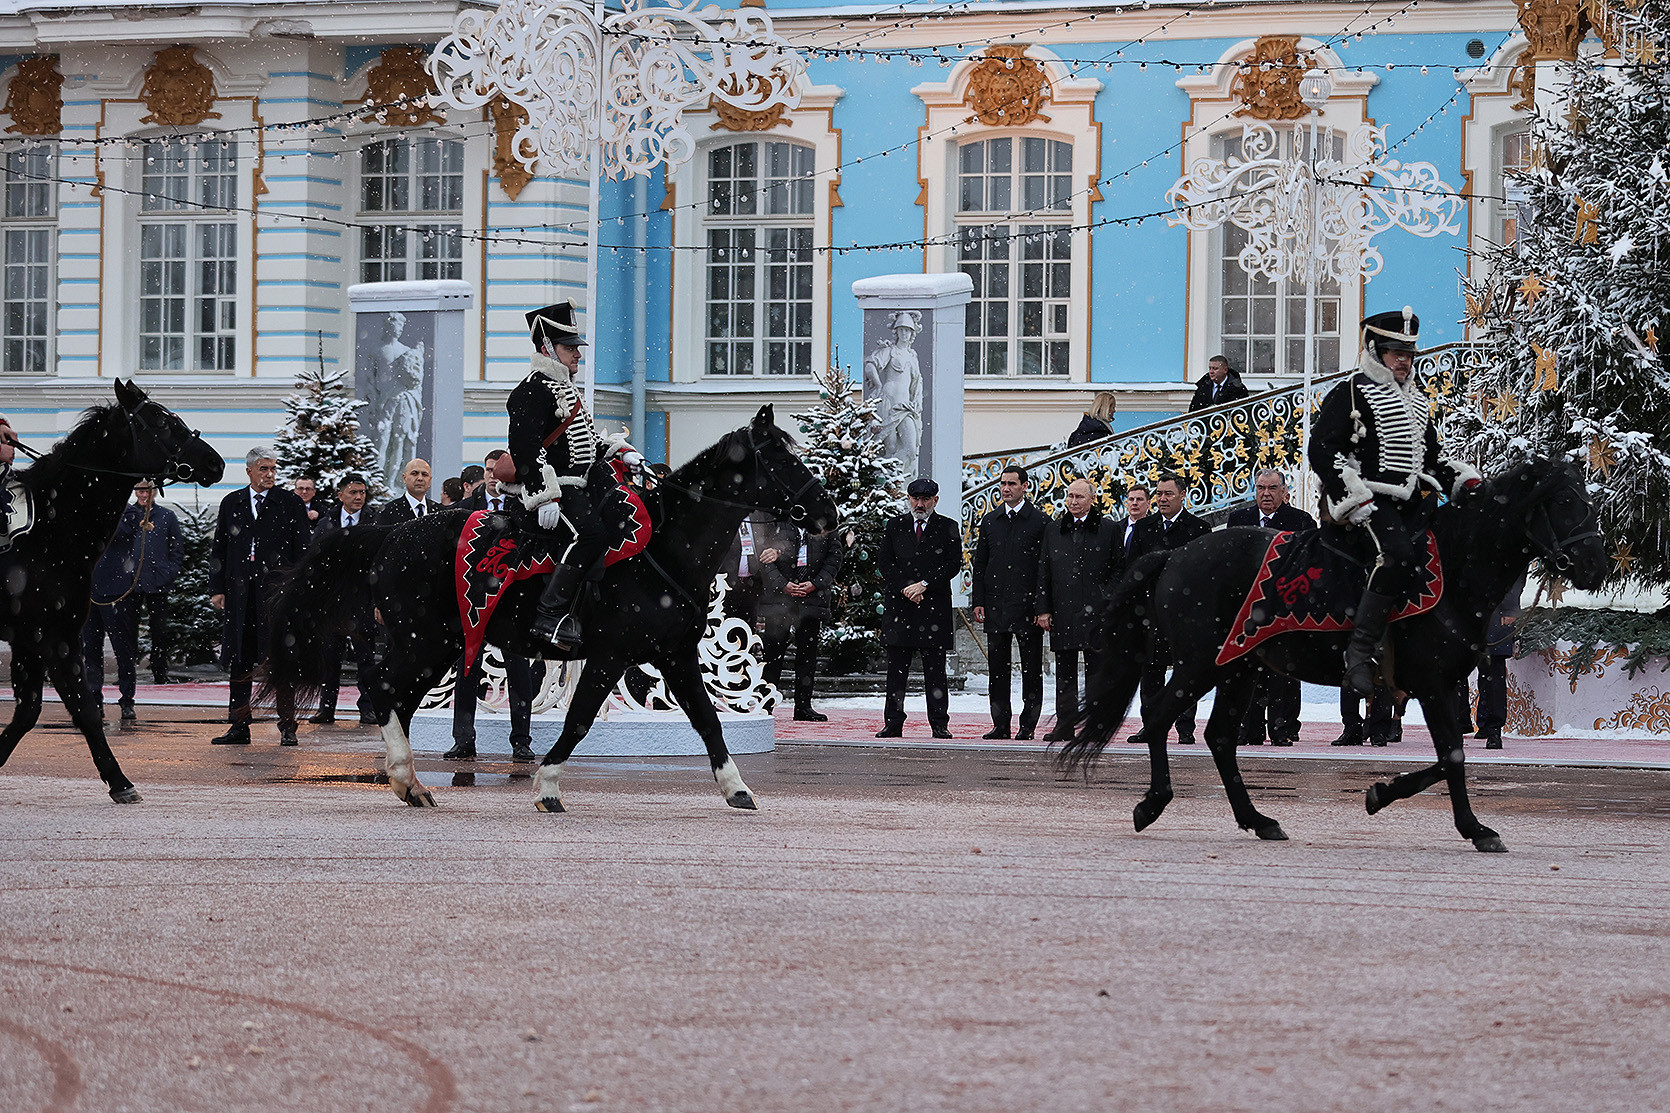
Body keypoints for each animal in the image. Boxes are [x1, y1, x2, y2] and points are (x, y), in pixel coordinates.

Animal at [0, 381, 227, 798]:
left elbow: (28, 711)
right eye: (160, 420)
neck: (51, 529)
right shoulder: (55, 638)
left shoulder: (30, 640)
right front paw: (119, 780)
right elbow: (84, 708)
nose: (214, 462)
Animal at [268, 406, 841, 805]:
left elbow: (708, 721)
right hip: (425, 641)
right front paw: (546, 786)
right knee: (382, 689)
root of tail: (388, 533)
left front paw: (737, 789)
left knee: (396, 698)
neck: (664, 549)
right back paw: (408, 778)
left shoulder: (675, 655)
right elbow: (579, 719)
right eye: (782, 457)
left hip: (440, 645)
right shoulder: (611, 656)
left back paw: (409, 784)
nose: (828, 513)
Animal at [1062, 457, 1609, 848]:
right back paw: (1152, 803)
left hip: (1238, 668)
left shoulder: (1443, 686)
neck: (1453, 567)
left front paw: (1382, 793)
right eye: (1563, 499)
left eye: (1586, 497)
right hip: (1202, 665)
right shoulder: (1434, 684)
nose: (1595, 564)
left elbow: (1445, 754)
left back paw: (1257, 819)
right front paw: (1475, 829)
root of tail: (1176, 552)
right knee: (1158, 716)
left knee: (1218, 737)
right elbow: (1452, 755)